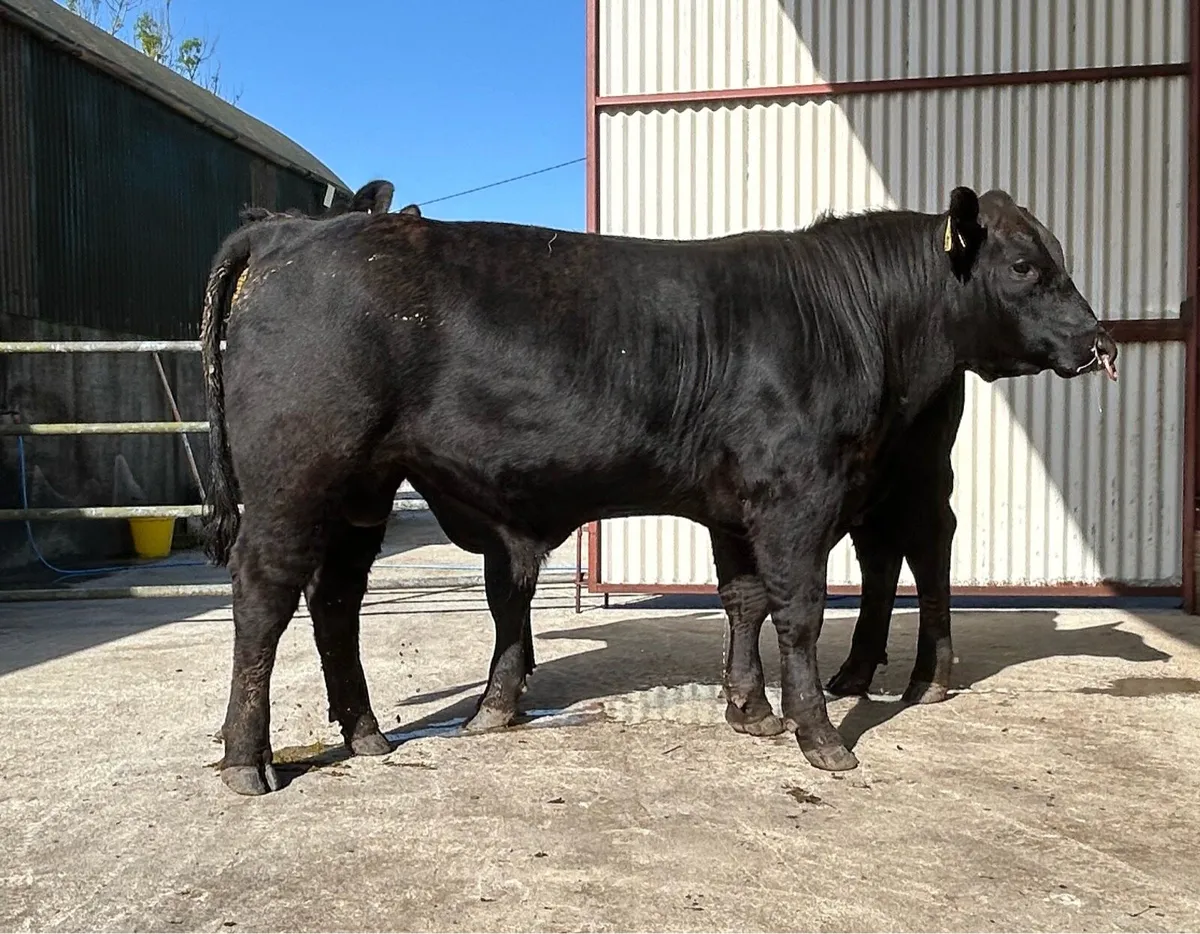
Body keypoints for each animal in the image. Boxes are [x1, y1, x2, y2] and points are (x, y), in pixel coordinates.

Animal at [199, 185, 1117, 795]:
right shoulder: (796, 495)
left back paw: (365, 735)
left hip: (363, 491)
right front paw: (820, 736)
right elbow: (798, 610)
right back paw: (247, 759)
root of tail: (292, 232)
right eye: (1026, 264)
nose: (1099, 340)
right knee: (266, 594)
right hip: (297, 475)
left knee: (336, 599)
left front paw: (750, 710)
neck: (847, 315)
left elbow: (743, 599)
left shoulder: (736, 505)